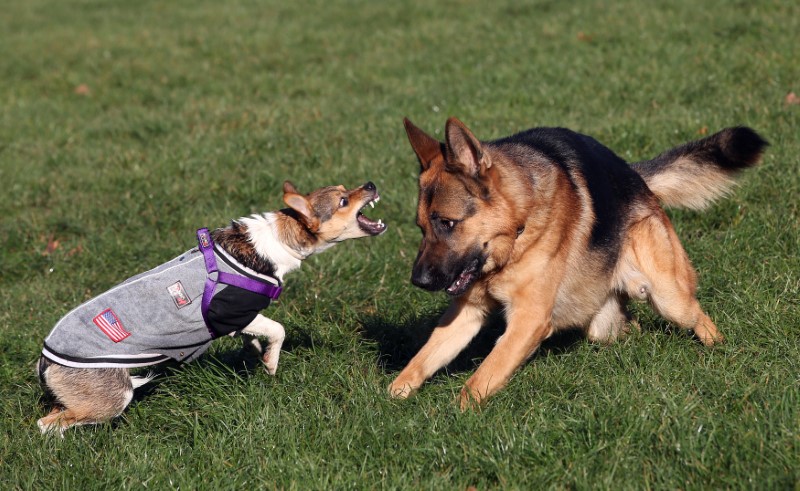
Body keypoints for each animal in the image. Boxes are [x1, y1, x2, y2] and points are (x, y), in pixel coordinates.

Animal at [38, 181, 388, 434]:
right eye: (343, 201)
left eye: (347, 188)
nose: (371, 184)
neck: (271, 242)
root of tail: (45, 361)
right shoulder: (229, 313)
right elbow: (278, 329)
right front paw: (271, 363)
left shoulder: (240, 321)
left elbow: (254, 337)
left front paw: (255, 352)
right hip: (113, 395)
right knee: (48, 424)